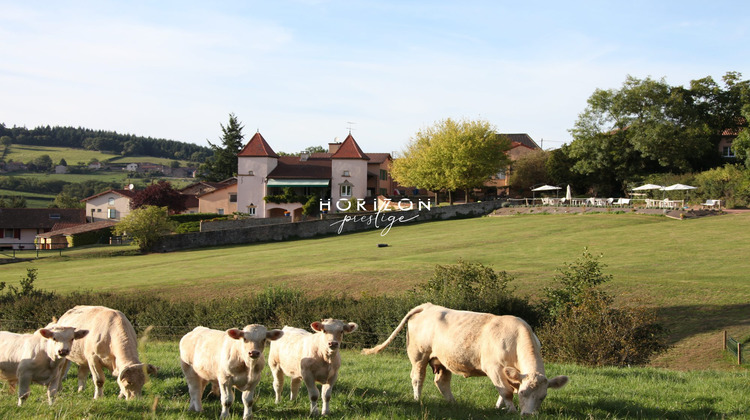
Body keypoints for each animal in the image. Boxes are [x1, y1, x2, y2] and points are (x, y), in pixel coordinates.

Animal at [364, 304, 568, 416]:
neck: (515, 338)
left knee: (441, 382)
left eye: (543, 397)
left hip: (441, 360)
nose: (528, 415)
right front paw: (511, 410)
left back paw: (453, 404)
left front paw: (499, 407)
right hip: (419, 356)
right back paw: (417, 399)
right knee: (417, 378)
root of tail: (428, 305)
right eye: (524, 393)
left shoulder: (511, 373)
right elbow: (506, 391)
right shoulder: (494, 368)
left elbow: (504, 391)